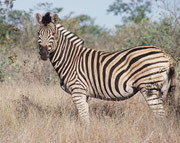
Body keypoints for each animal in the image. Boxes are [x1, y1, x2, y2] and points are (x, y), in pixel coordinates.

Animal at [35, 12, 176, 124]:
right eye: (38, 33)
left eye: (53, 34)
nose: (43, 53)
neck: (71, 59)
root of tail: (164, 53)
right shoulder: (84, 93)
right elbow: (85, 116)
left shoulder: (77, 90)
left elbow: (83, 118)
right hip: (161, 88)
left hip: (149, 87)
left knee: (161, 117)